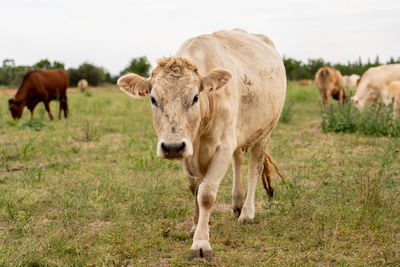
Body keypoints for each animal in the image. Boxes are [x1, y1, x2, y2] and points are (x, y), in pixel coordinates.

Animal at [117, 28, 286, 260]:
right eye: (153, 99)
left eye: (195, 97)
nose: (172, 147)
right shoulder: (188, 151)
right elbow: (193, 188)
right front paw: (195, 226)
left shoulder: (223, 147)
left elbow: (205, 195)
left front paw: (201, 243)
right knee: (238, 160)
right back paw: (237, 202)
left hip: (264, 133)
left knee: (255, 167)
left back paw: (247, 213)